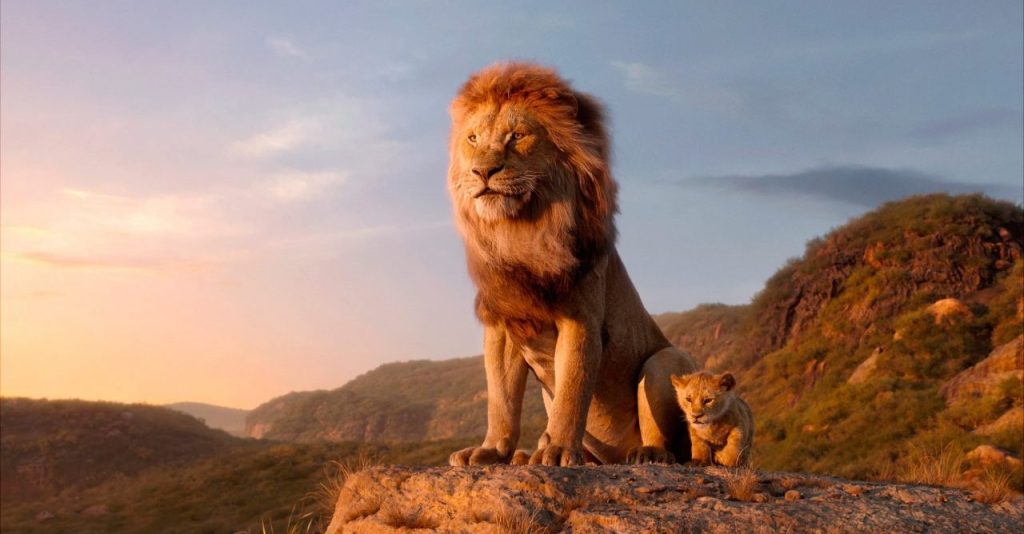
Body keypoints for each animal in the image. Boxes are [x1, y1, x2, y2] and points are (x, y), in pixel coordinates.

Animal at [445, 62, 699, 467]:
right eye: (472, 138)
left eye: (517, 136)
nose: (482, 172)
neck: (520, 232)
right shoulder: (503, 324)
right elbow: (501, 399)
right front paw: (491, 450)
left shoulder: (581, 319)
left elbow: (572, 390)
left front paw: (560, 449)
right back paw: (525, 455)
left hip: (665, 360)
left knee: (669, 441)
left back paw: (646, 453)